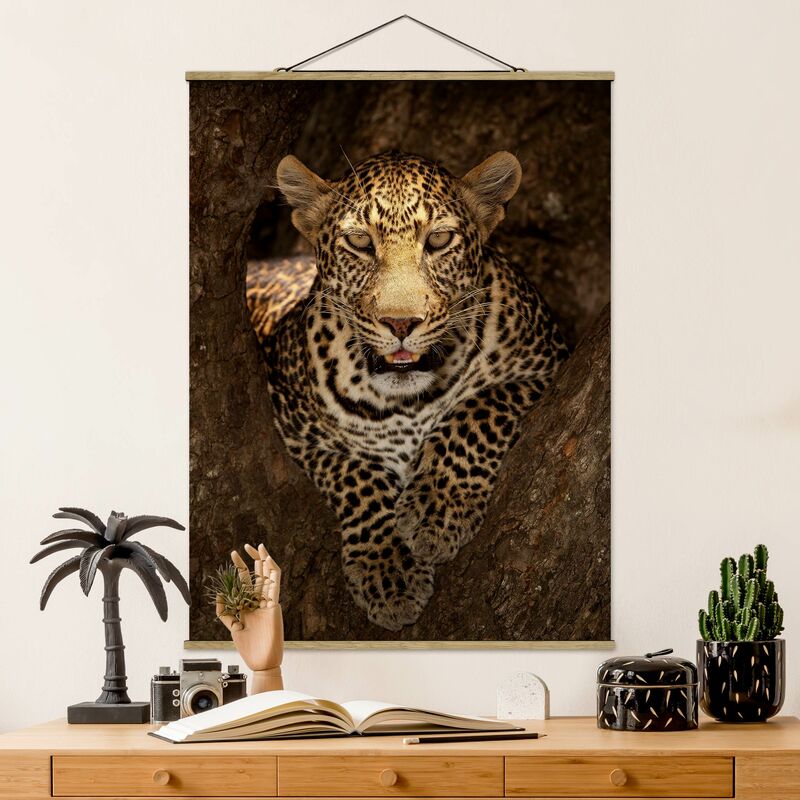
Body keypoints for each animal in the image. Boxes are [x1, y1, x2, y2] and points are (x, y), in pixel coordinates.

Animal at [248, 150, 569, 632]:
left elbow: (476, 411)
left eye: (439, 239)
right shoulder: (294, 426)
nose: (401, 324)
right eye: (360, 242)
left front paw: (438, 509)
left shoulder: (546, 364)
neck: (406, 403)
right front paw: (388, 571)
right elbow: (355, 474)